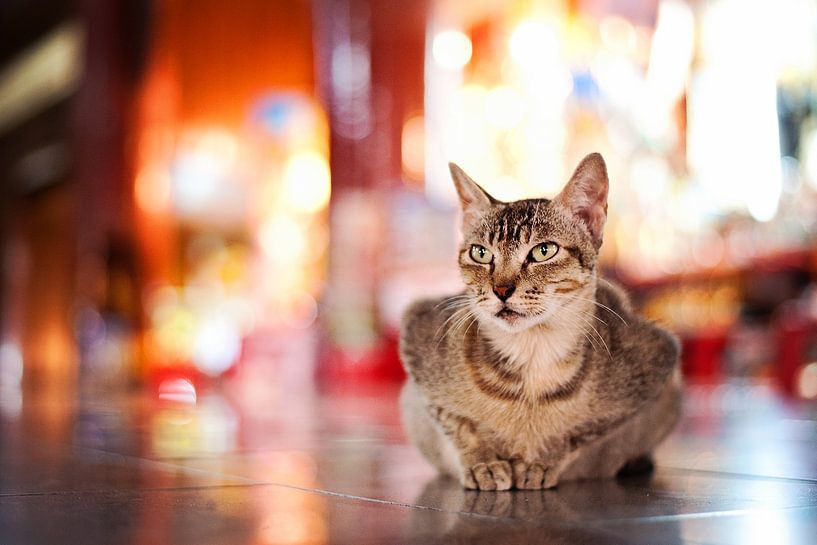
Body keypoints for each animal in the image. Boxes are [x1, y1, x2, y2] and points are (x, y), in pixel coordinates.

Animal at [398, 152, 680, 488]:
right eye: (480, 253)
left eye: (544, 251)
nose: (501, 290)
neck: (530, 357)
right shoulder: (417, 339)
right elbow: (457, 423)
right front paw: (484, 462)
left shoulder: (657, 362)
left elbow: (580, 433)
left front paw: (543, 460)